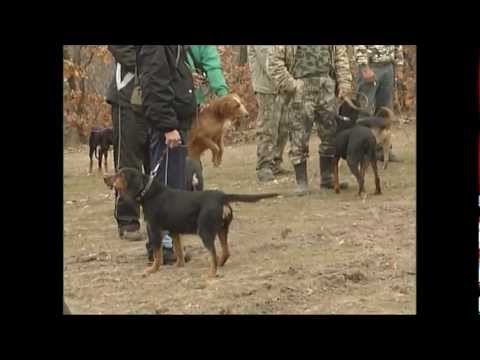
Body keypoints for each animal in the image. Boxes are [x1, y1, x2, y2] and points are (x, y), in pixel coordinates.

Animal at [103, 167, 280, 278]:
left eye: (119, 174)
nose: (105, 177)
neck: (149, 192)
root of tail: (222, 196)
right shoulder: (174, 230)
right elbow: (179, 251)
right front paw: (178, 265)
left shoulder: (154, 229)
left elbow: (158, 254)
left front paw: (152, 269)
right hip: (222, 229)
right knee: (225, 252)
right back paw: (219, 265)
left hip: (205, 230)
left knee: (213, 253)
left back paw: (211, 274)